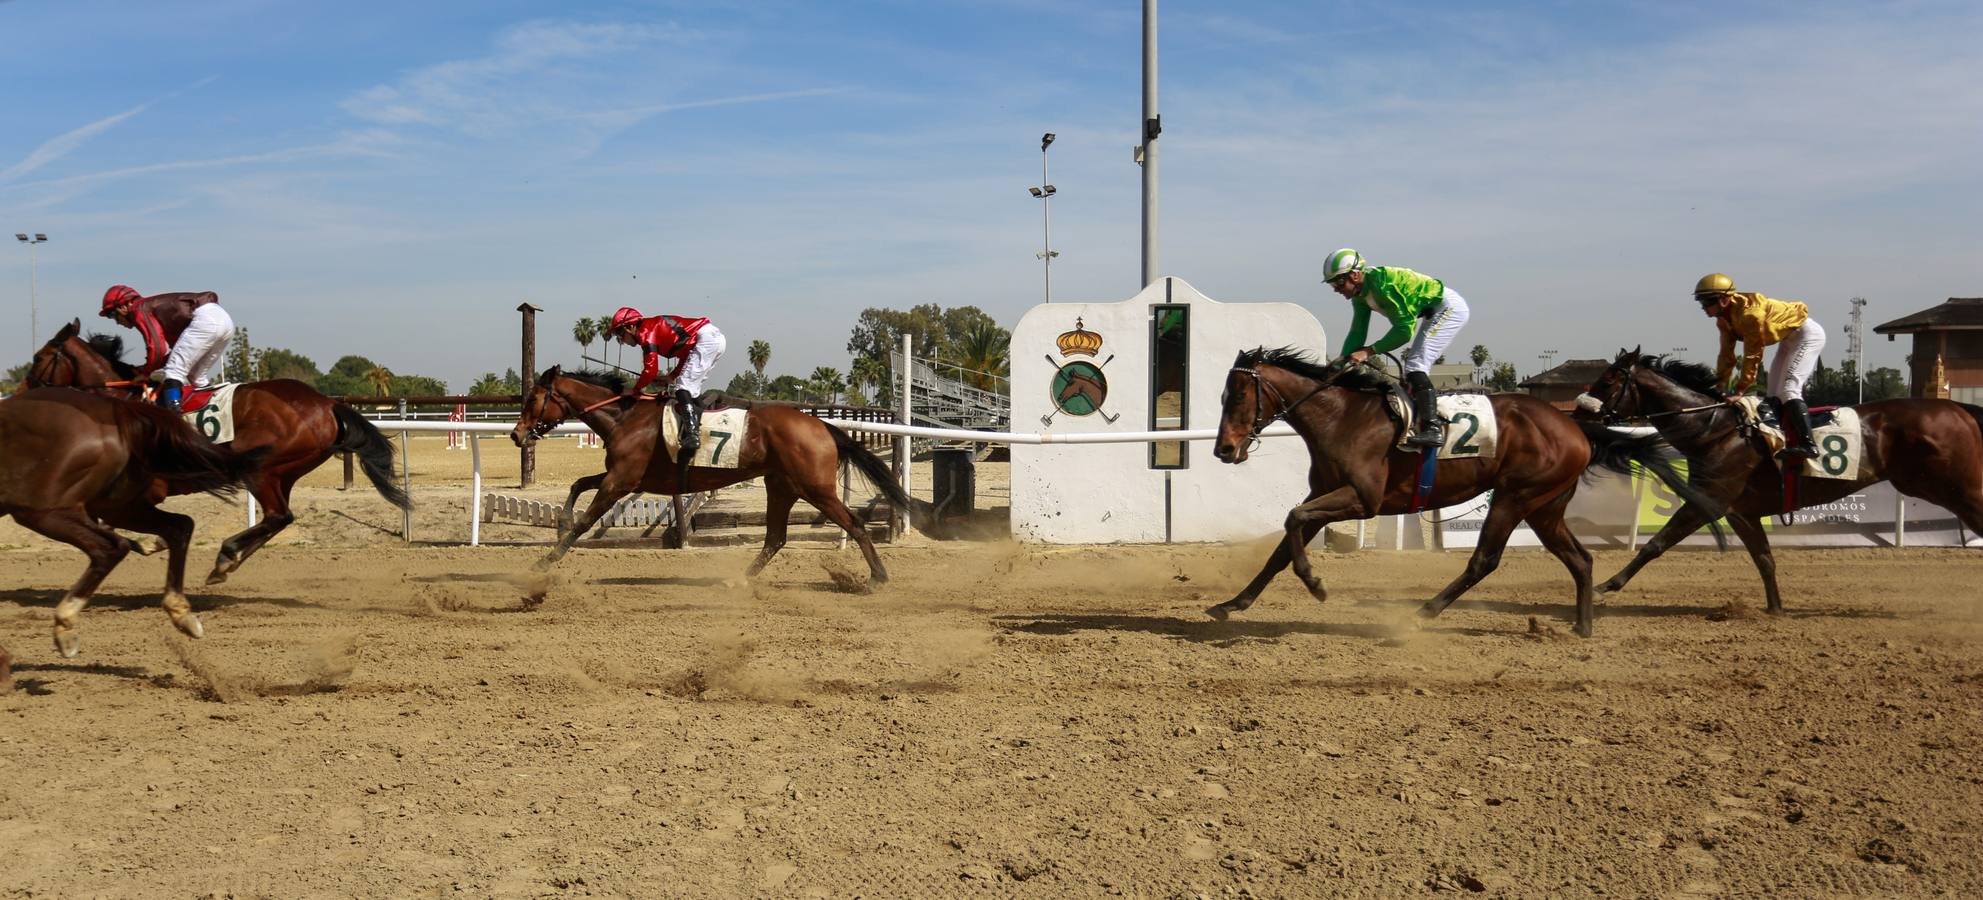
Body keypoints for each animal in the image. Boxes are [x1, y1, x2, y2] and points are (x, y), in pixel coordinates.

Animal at [1, 384, 269, 654]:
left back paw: (64, 624)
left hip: (43, 509)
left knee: (110, 547)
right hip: (116, 505)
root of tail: (118, 411)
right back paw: (182, 610)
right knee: (179, 526)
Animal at [27, 319, 408, 586]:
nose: (25, 392)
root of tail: (327, 403)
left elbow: (108, 516)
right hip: (284, 472)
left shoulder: (144, 490)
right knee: (280, 517)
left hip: (262, 467)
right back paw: (228, 562)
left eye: (39, 357)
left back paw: (226, 556)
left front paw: (147, 543)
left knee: (277, 516)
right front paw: (149, 543)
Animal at [507, 368, 947, 578]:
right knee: (775, 538)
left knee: (853, 524)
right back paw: (740, 579)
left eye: (532, 399)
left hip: (815, 488)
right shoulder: (621, 476)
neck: (625, 417)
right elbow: (578, 485)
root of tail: (821, 426)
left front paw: (544, 563)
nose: (516, 433)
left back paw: (878, 576)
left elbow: (586, 520)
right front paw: (560, 522)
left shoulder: (622, 481)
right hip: (782, 486)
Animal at [1205, 348, 1705, 634]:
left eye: (1239, 396)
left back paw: (1426, 611)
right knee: (1580, 559)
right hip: (1545, 506)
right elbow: (1281, 547)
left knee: (1485, 559)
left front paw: (1315, 584)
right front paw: (1233, 603)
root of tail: (1575, 426)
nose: (1223, 449)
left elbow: (1293, 521)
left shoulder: (1363, 500)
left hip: (1514, 497)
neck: (1341, 417)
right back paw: (1583, 625)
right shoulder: (1324, 495)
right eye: (1223, 397)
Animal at [1586, 346, 1983, 610]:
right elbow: (1765, 560)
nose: (1579, 410)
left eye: (1607, 381)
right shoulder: (1740, 512)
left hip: (1954, 486)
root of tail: (1958, 408)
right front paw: (1775, 608)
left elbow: (1656, 544)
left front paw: (1605, 584)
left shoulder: (1708, 501)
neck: (1714, 428)